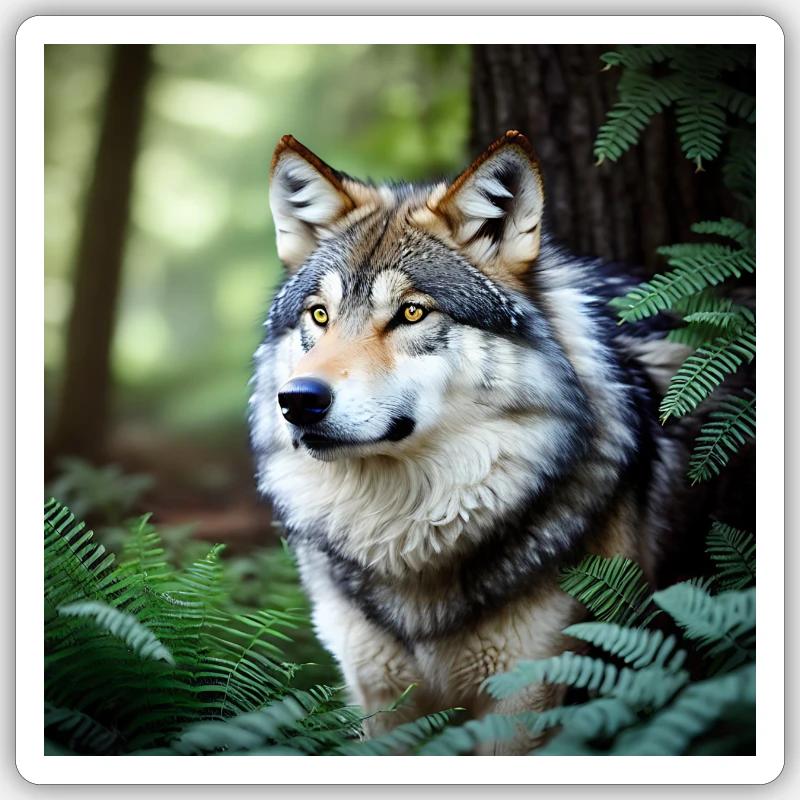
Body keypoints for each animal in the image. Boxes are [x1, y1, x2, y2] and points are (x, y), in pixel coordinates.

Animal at [248, 131, 691, 751]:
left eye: (411, 313)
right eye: (319, 315)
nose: (298, 400)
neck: (404, 537)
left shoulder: (524, 697)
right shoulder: (380, 698)